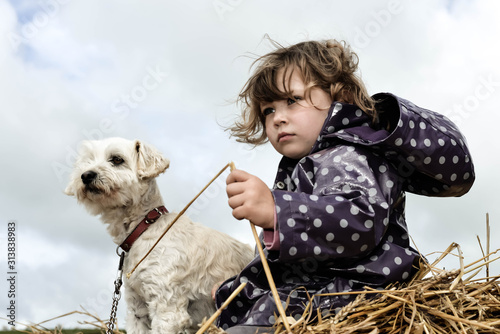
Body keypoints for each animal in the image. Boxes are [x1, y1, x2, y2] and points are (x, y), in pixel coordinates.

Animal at [65, 137, 254, 334]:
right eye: (88, 161)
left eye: (117, 159)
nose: (86, 175)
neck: (144, 228)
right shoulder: (137, 309)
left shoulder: (167, 308)